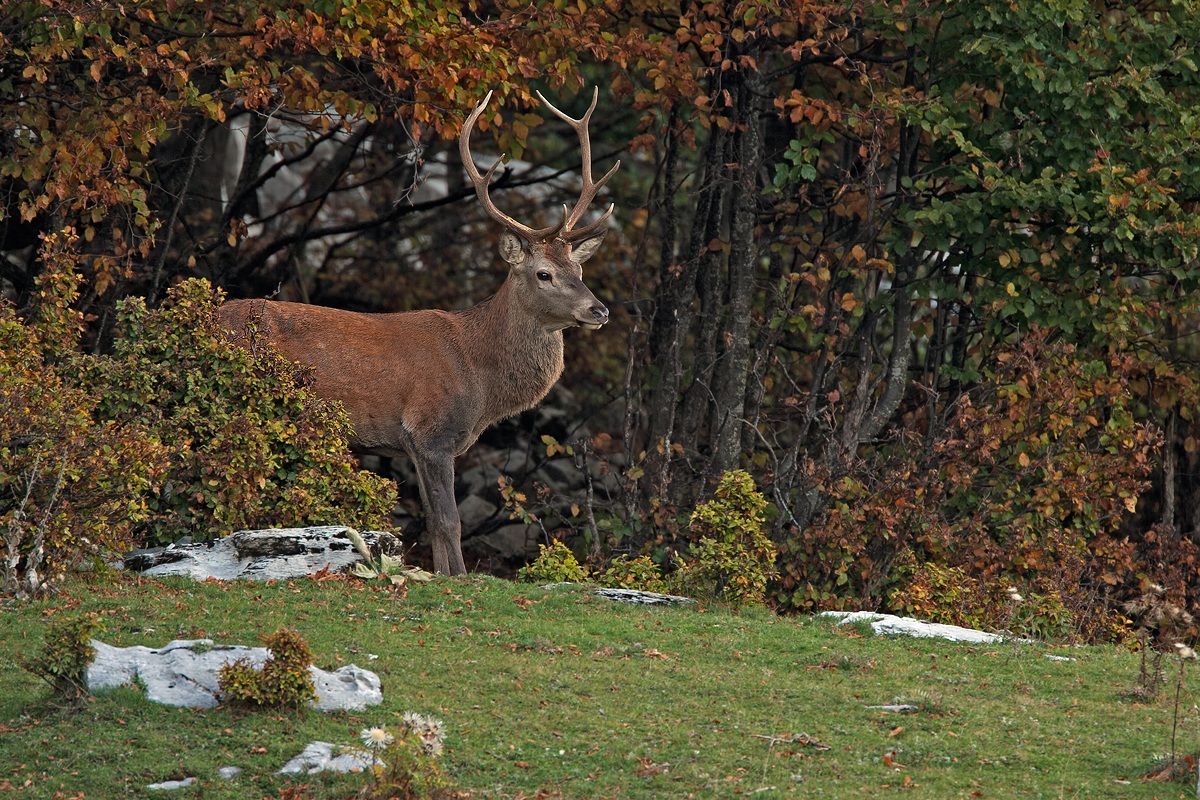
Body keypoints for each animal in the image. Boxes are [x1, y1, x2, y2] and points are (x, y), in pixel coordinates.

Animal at [216, 89, 619, 575]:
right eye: (544, 274)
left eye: (579, 270)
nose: (598, 310)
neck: (479, 374)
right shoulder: (431, 432)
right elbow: (449, 522)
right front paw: (458, 577)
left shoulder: (413, 446)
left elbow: (430, 522)